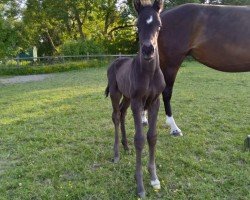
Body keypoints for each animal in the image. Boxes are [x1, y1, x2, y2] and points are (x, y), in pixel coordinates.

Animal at [105, 0, 165, 197]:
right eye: (137, 25)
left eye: (159, 25)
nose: (148, 50)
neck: (149, 74)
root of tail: (116, 61)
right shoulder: (138, 102)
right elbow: (139, 139)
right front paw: (140, 185)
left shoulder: (155, 102)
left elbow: (152, 136)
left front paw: (154, 178)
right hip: (116, 93)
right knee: (116, 116)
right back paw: (116, 153)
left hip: (127, 97)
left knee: (122, 114)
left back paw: (125, 147)